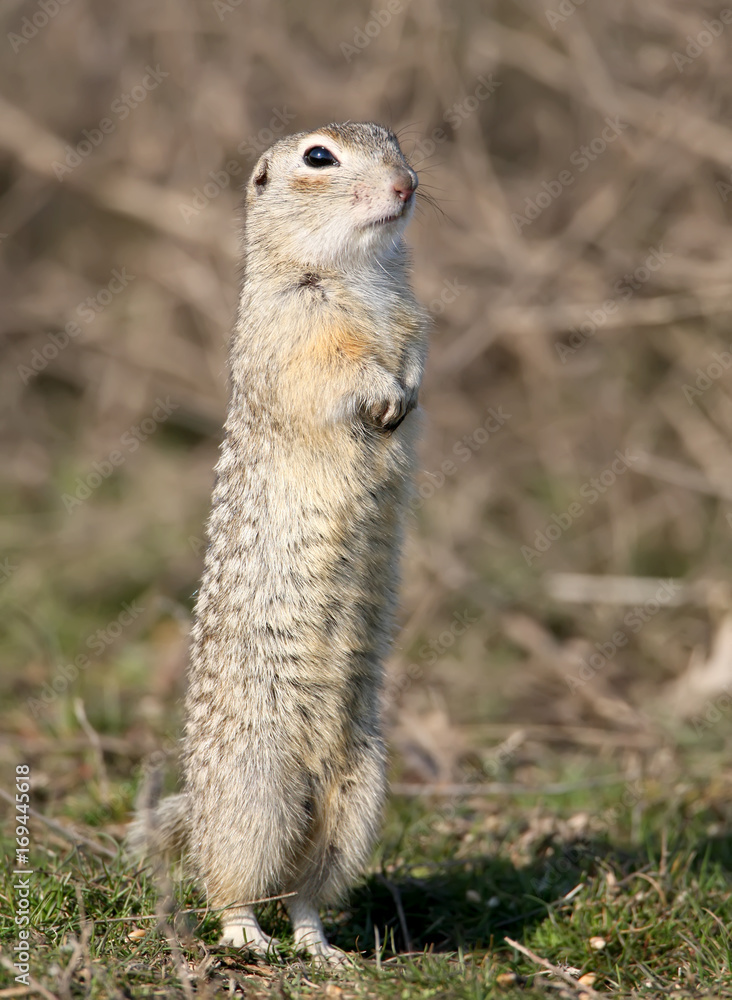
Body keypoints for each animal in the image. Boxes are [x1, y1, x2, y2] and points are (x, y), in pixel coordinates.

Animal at [129, 121, 428, 964]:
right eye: (319, 158)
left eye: (392, 138)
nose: (408, 185)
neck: (354, 268)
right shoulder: (296, 334)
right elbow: (336, 369)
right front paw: (384, 394)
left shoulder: (410, 317)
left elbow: (413, 352)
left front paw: (410, 389)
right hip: (255, 792)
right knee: (233, 884)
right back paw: (249, 939)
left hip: (359, 800)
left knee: (303, 891)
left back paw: (321, 946)